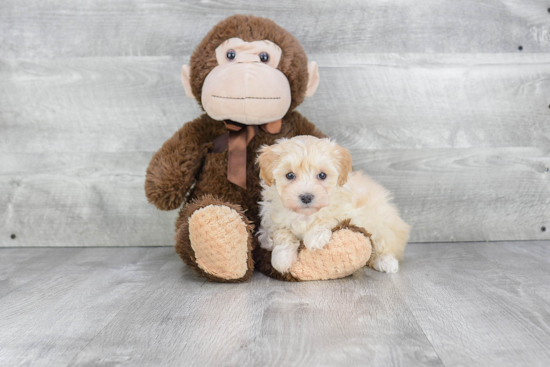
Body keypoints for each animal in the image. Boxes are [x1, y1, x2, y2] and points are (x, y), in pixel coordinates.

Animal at [258, 137, 410, 274]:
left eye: (322, 175)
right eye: (289, 175)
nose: (306, 197)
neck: (306, 215)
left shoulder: (352, 213)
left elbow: (330, 218)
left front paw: (315, 237)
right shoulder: (271, 222)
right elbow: (281, 232)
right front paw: (282, 258)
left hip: (382, 221)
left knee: (387, 244)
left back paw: (386, 262)